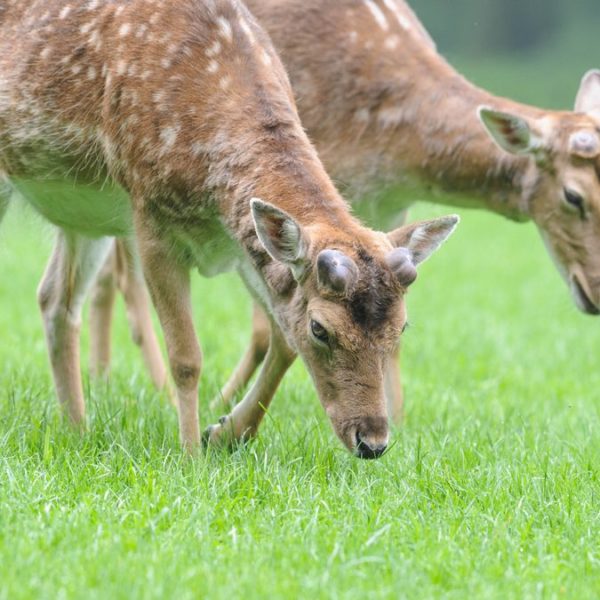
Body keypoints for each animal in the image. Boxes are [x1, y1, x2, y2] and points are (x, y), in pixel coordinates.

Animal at [0, 0, 459, 457]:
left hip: (83, 213)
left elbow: (280, 338)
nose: (373, 441)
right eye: (320, 328)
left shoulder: (242, 243)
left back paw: (76, 429)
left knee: (55, 298)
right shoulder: (150, 219)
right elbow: (186, 356)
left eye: (402, 326)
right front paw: (189, 454)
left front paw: (225, 432)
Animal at [85, 0, 600, 423]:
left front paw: (399, 419)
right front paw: (221, 406)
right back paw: (132, 385)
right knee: (120, 272)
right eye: (574, 197)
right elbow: (269, 329)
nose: (596, 293)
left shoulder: (386, 216)